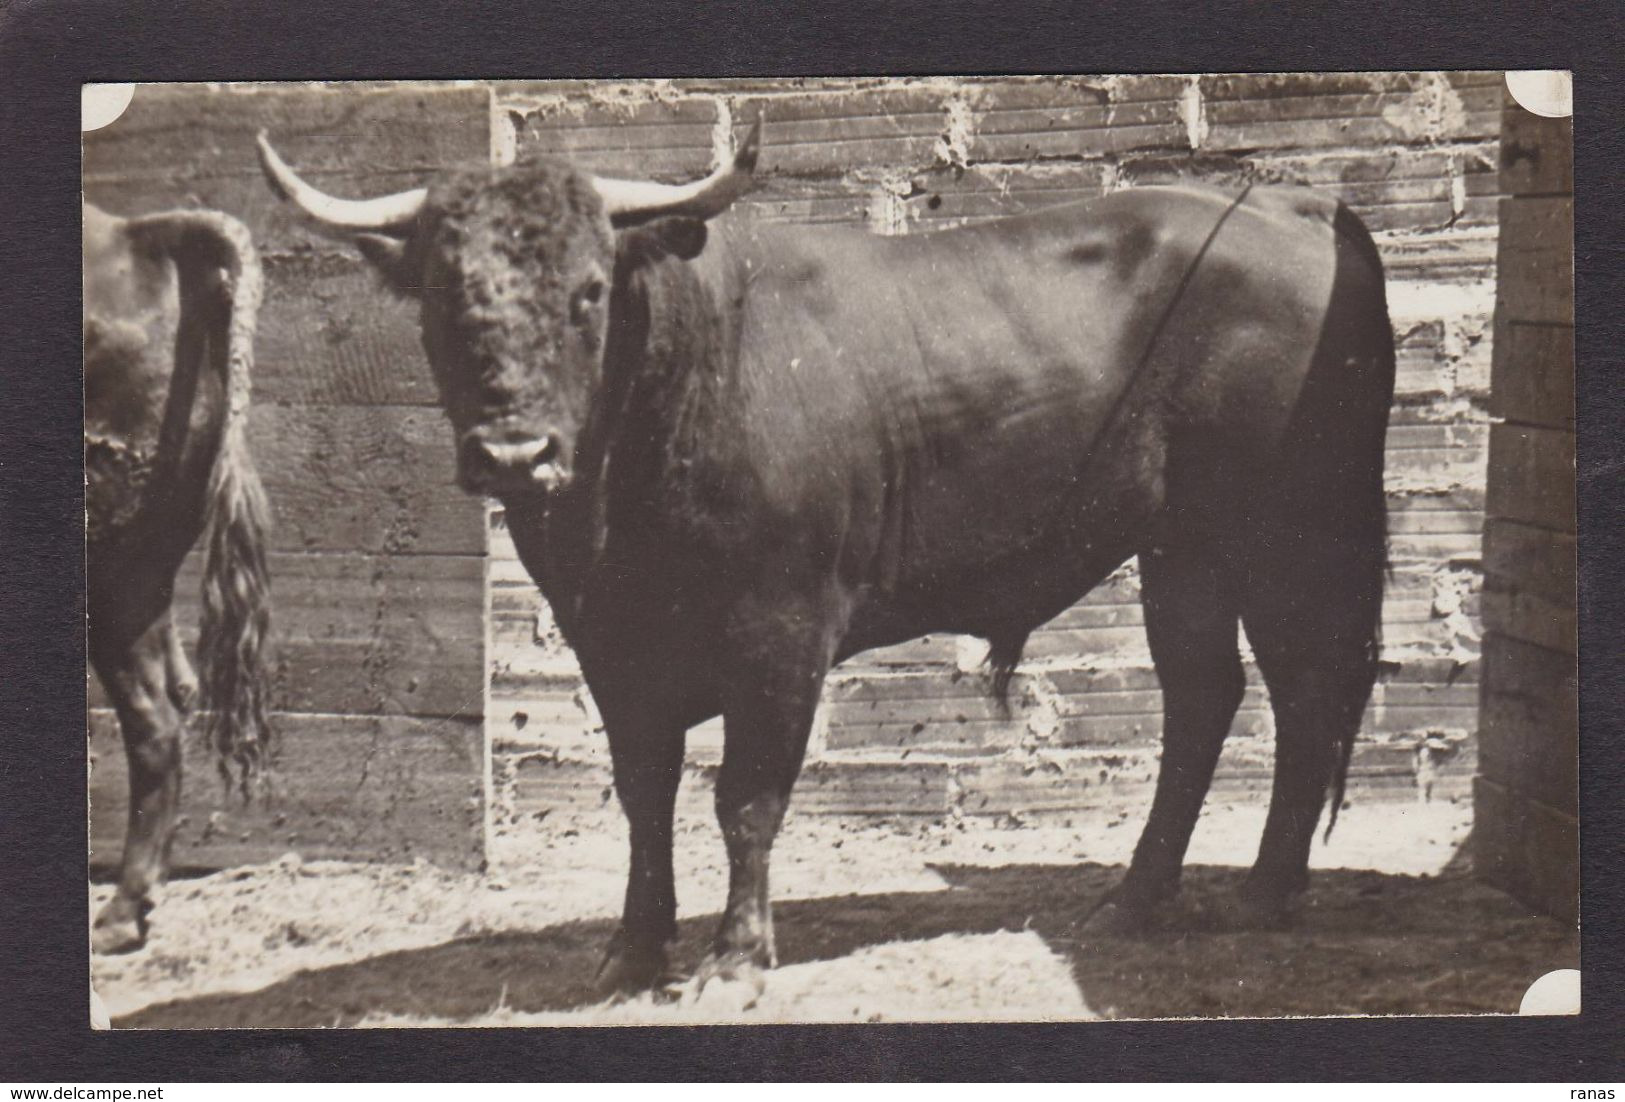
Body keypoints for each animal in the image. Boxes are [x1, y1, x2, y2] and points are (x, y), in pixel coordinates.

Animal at [260, 125, 1391, 1007]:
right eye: (439, 296)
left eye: (587, 292)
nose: (511, 454)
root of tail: (1283, 202)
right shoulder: (611, 646)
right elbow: (644, 792)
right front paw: (632, 950)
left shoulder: (779, 633)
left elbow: (745, 795)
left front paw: (733, 959)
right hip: (1181, 546)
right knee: (1205, 694)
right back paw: (1135, 898)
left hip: (1284, 530)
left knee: (1301, 692)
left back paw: (1262, 890)